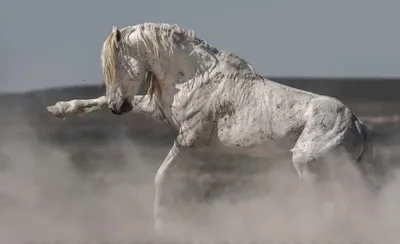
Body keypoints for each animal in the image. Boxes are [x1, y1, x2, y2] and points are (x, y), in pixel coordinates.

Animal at [47, 21, 376, 232]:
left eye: (118, 65)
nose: (118, 108)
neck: (195, 76)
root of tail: (357, 124)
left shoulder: (187, 140)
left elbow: (161, 177)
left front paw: (161, 225)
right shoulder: (160, 112)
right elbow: (98, 102)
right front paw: (60, 109)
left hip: (310, 167)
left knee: (333, 205)